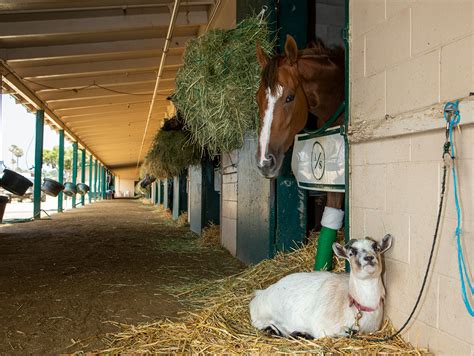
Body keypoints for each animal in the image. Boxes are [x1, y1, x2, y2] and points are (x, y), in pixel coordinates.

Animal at [248, 235, 392, 338]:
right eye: (351, 253)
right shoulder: (322, 327)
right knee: (260, 322)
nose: (369, 258)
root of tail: (261, 293)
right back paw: (273, 330)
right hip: (263, 312)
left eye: (377, 248)